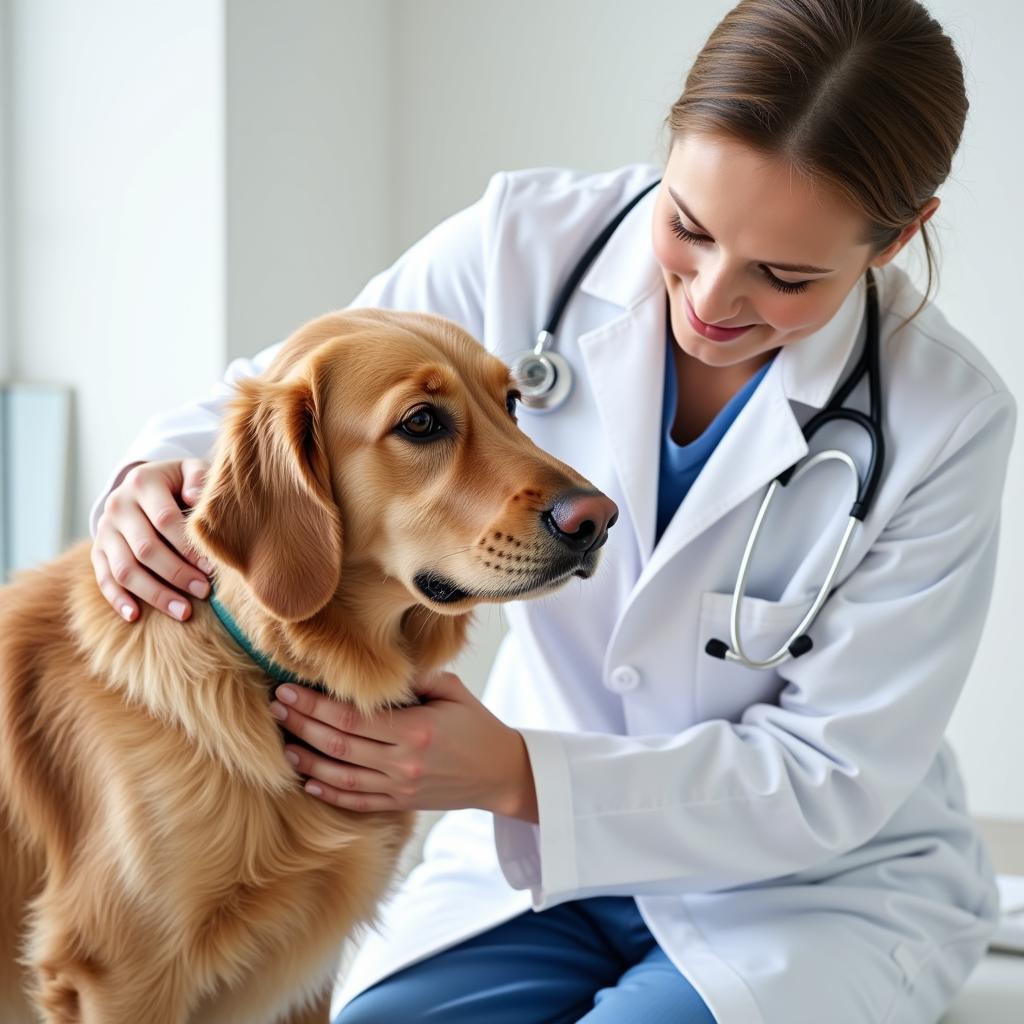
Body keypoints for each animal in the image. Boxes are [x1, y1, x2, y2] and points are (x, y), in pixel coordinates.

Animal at [0, 307, 614, 1019]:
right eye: (421, 422)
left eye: (513, 402)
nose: (598, 519)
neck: (269, 667)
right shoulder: (118, 973)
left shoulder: (307, 973)